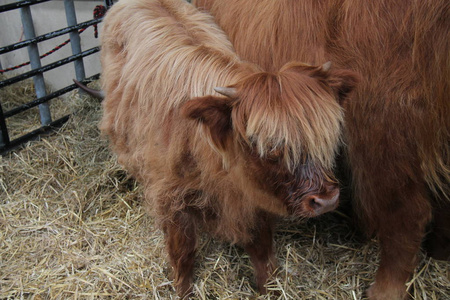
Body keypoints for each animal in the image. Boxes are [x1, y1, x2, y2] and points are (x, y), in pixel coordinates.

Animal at [99, 0, 358, 296]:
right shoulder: (171, 199)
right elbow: (183, 254)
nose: (326, 200)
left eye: (325, 138)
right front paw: (183, 291)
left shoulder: (253, 198)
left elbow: (262, 251)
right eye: (268, 147)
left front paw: (267, 288)